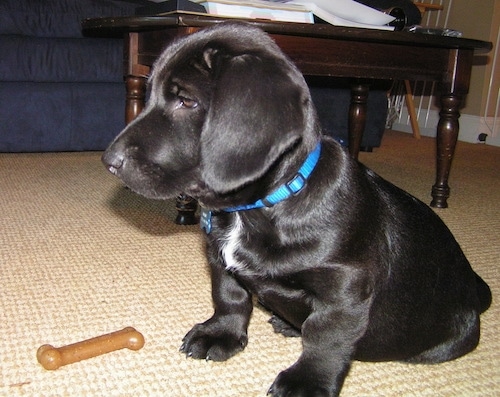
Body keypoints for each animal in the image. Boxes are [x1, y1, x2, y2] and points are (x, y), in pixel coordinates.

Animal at [102, 22, 492, 396]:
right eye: (149, 95)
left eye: (185, 101)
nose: (109, 161)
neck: (258, 209)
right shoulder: (219, 260)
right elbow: (229, 298)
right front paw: (220, 334)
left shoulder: (345, 289)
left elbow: (325, 339)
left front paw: (307, 381)